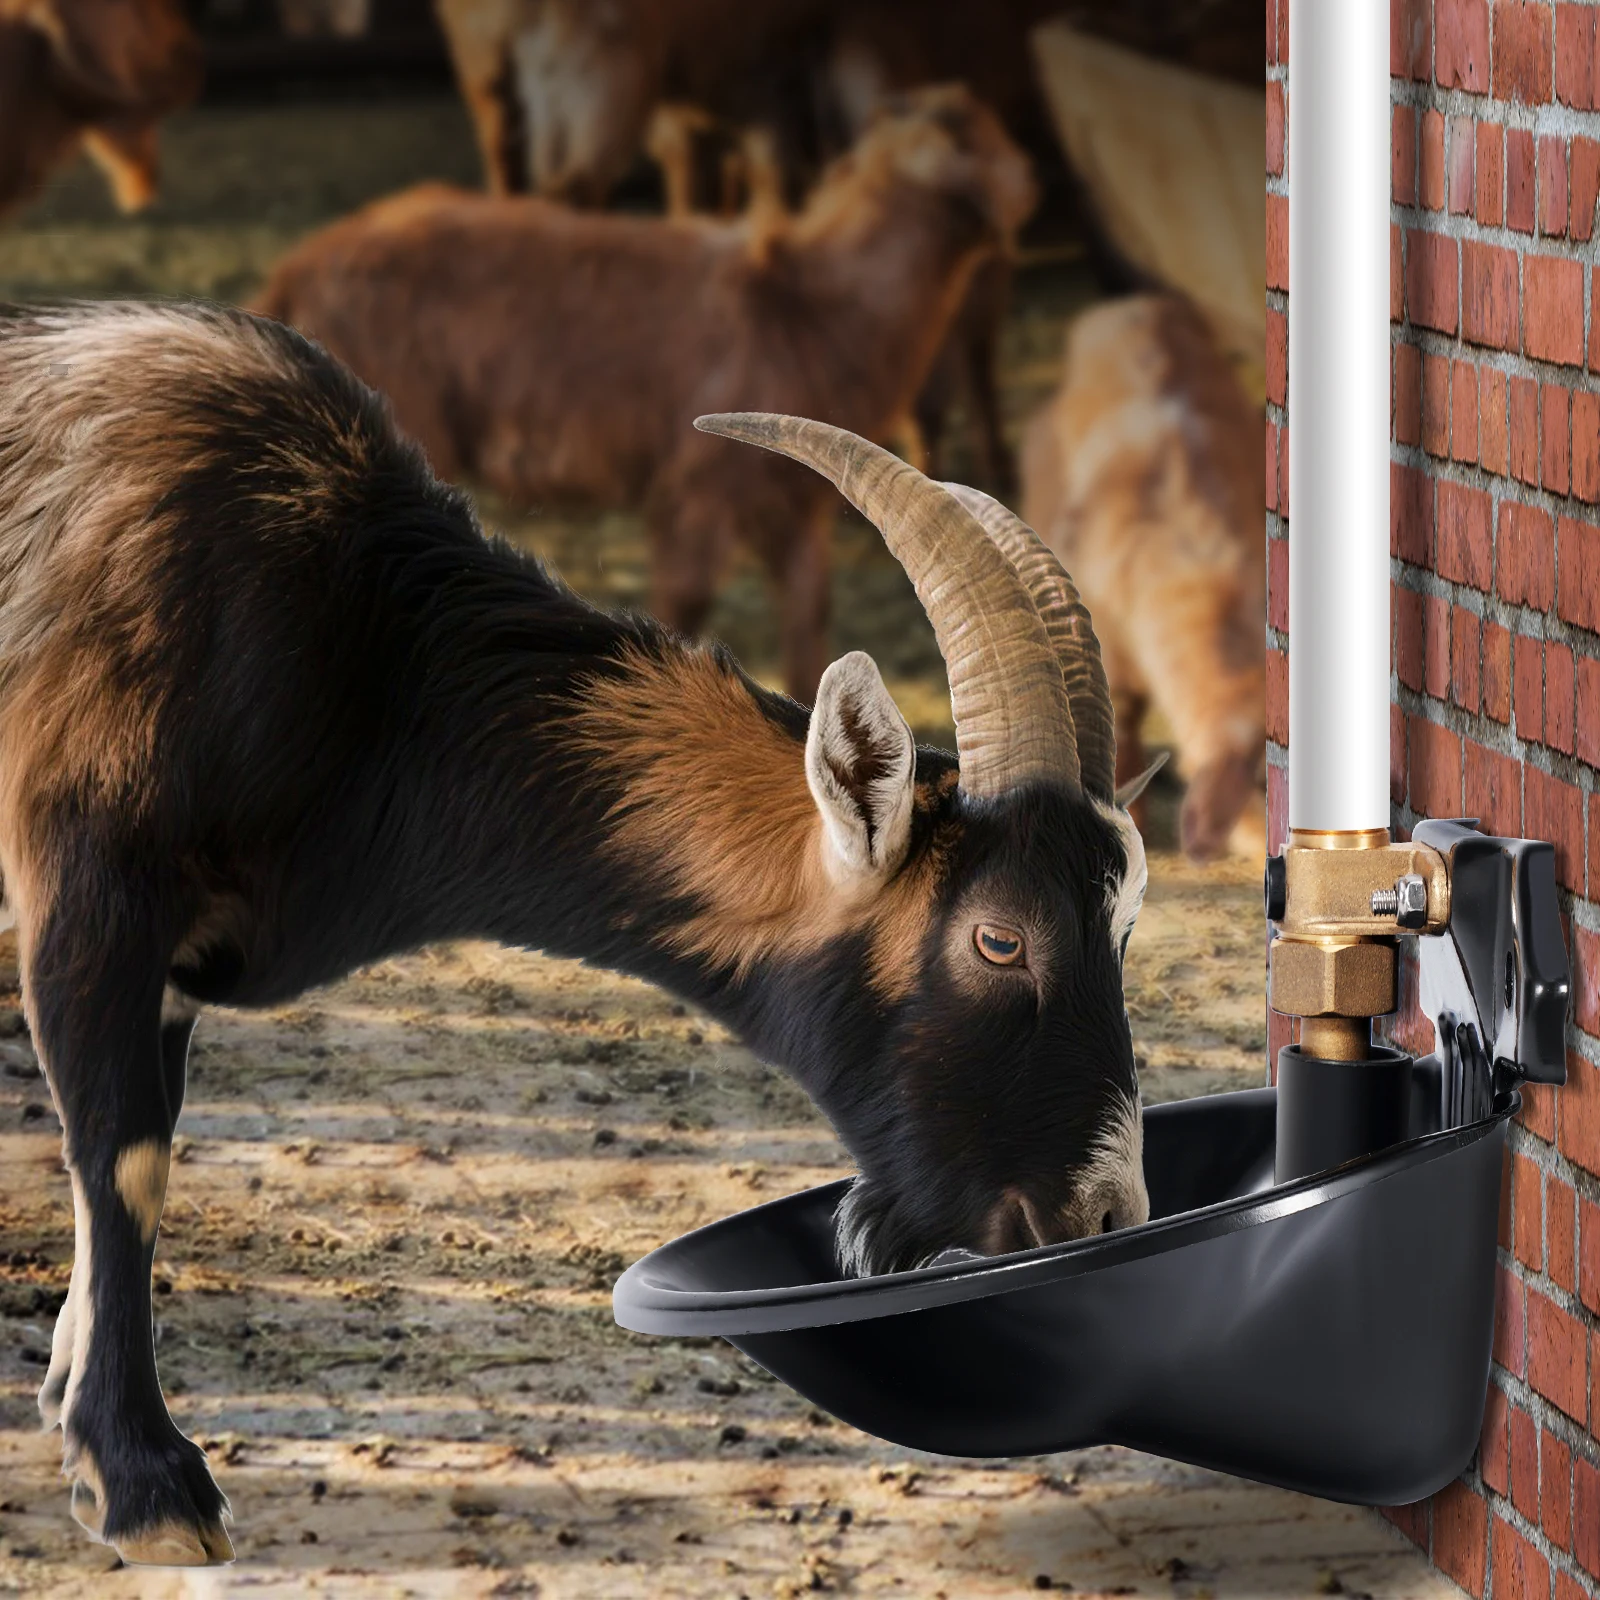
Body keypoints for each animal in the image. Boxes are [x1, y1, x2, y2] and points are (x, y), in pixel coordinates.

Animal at [0, 301, 1151, 1566]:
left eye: (1125, 919)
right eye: (998, 939)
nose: (1108, 1213)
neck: (371, 658)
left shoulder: (166, 974)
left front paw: (70, 1400)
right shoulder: (93, 891)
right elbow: (127, 1157)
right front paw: (142, 1483)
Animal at [256, 86, 1038, 700]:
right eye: (963, 133)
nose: (1031, 187)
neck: (805, 306)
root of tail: (295, 268)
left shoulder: (794, 509)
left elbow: (809, 632)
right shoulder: (697, 489)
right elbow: (682, 614)